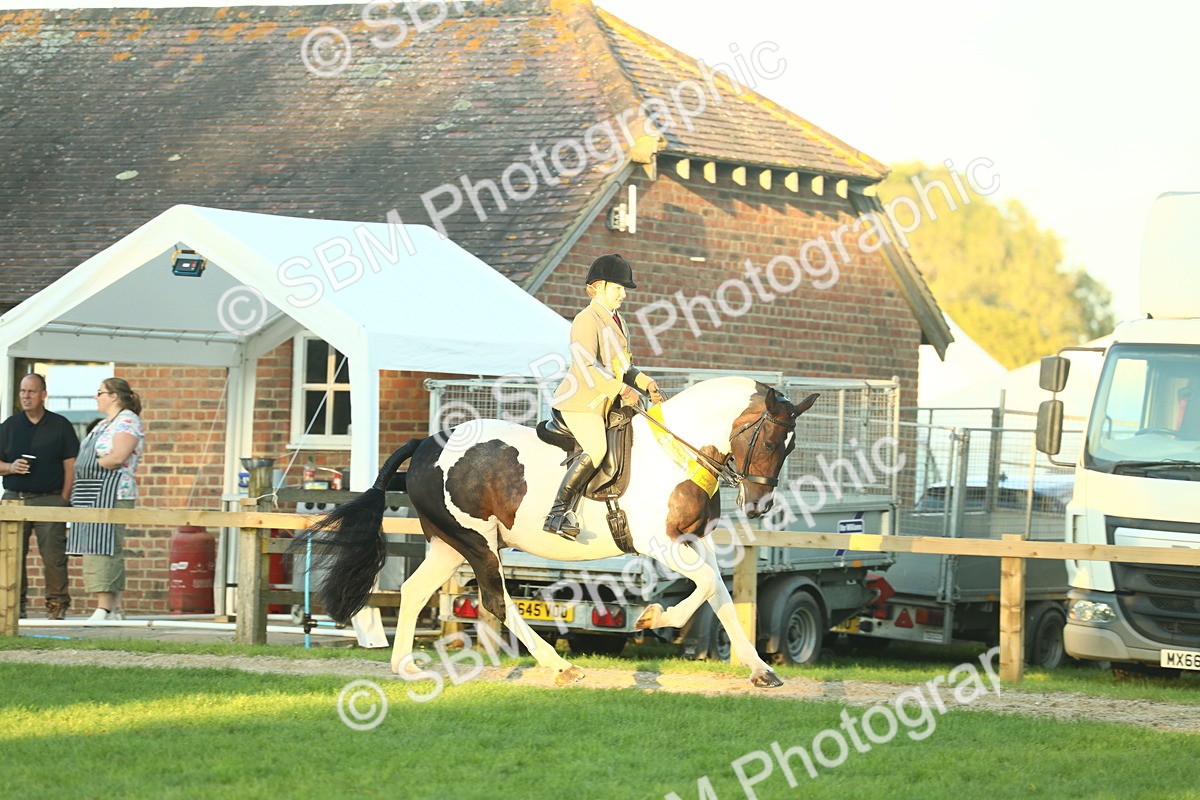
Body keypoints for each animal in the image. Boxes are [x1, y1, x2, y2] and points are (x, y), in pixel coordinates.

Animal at [305, 376, 819, 688]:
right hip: (478, 542)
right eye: (771, 441)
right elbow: (709, 585)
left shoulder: (695, 541)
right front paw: (654, 617)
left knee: (414, 590)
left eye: (790, 447)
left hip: (448, 545)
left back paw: (405, 664)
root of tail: (427, 444)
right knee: (496, 601)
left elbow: (721, 595)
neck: (676, 452)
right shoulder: (663, 544)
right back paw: (559, 665)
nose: (759, 506)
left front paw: (760, 669)